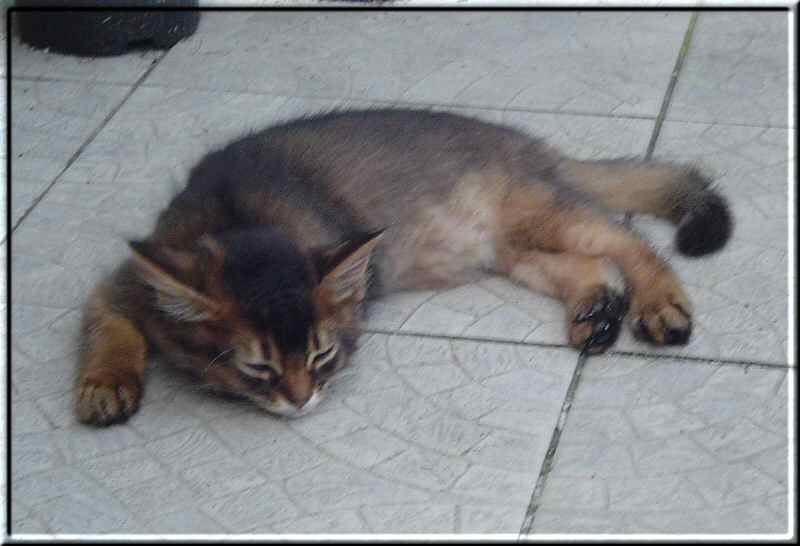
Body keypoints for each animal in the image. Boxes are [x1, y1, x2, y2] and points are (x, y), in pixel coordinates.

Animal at [75, 108, 732, 422]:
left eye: (322, 355)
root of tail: (536, 149)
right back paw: (595, 310)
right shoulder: (125, 281)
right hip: (506, 249)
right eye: (257, 368)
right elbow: (106, 324)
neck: (235, 217)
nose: (301, 401)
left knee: (625, 242)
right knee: (588, 265)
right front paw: (105, 383)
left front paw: (104, 384)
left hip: (535, 213)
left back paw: (660, 304)